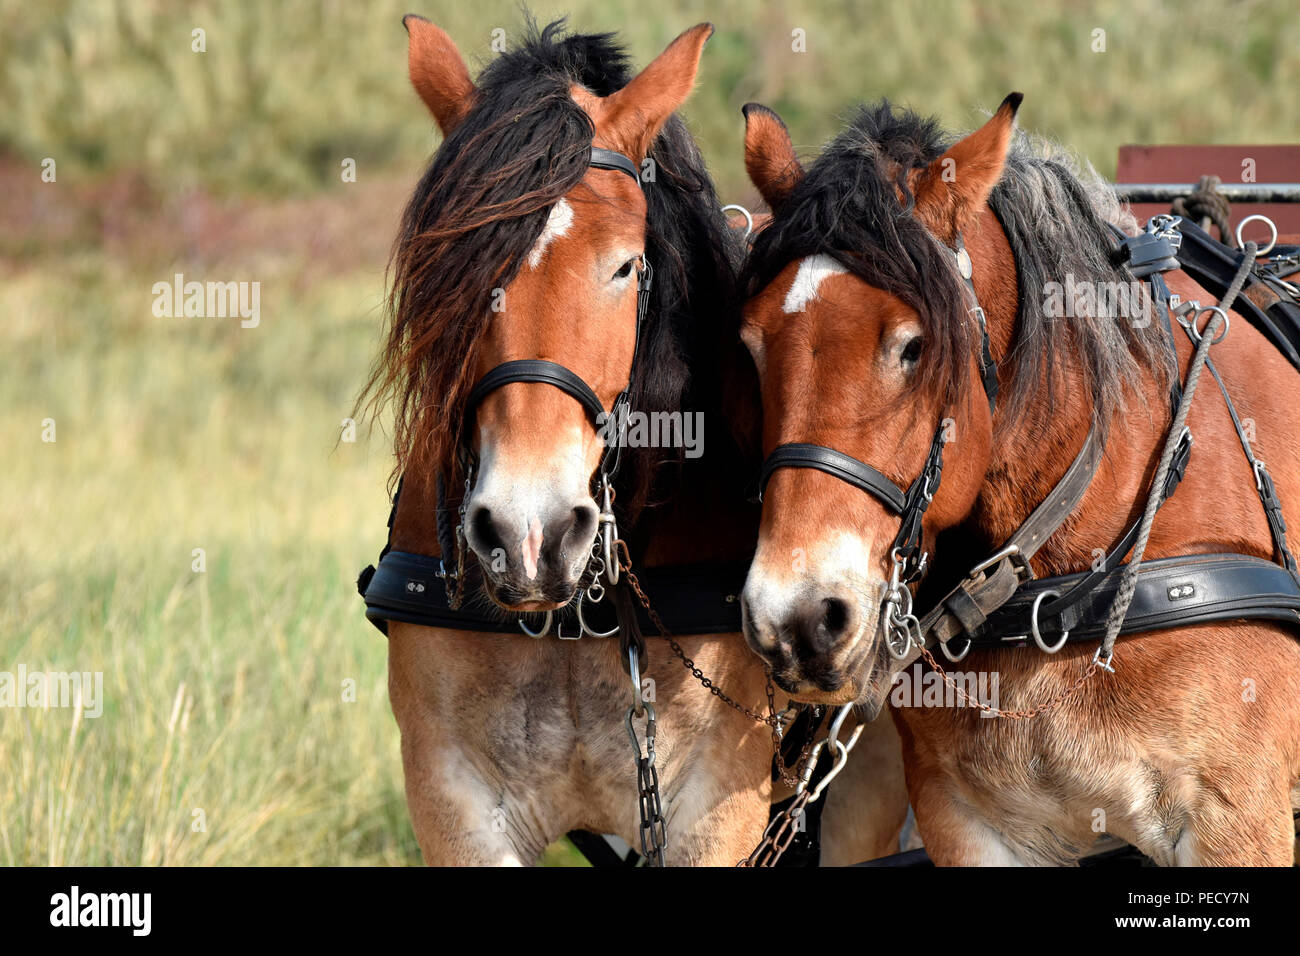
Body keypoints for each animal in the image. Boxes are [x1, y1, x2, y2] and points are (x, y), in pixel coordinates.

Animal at [357, 16, 907, 866]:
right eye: (454, 266)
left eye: (624, 266)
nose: (528, 535)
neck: (580, 610)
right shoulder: (454, 801)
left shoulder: (714, 809)